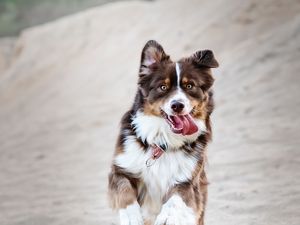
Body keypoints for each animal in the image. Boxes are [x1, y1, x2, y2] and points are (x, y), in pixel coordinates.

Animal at [108, 39, 218, 224]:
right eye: (163, 87)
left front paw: (167, 217)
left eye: (189, 86)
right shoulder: (120, 170)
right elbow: (124, 190)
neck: (163, 141)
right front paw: (131, 216)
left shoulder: (188, 181)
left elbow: (176, 199)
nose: (177, 105)